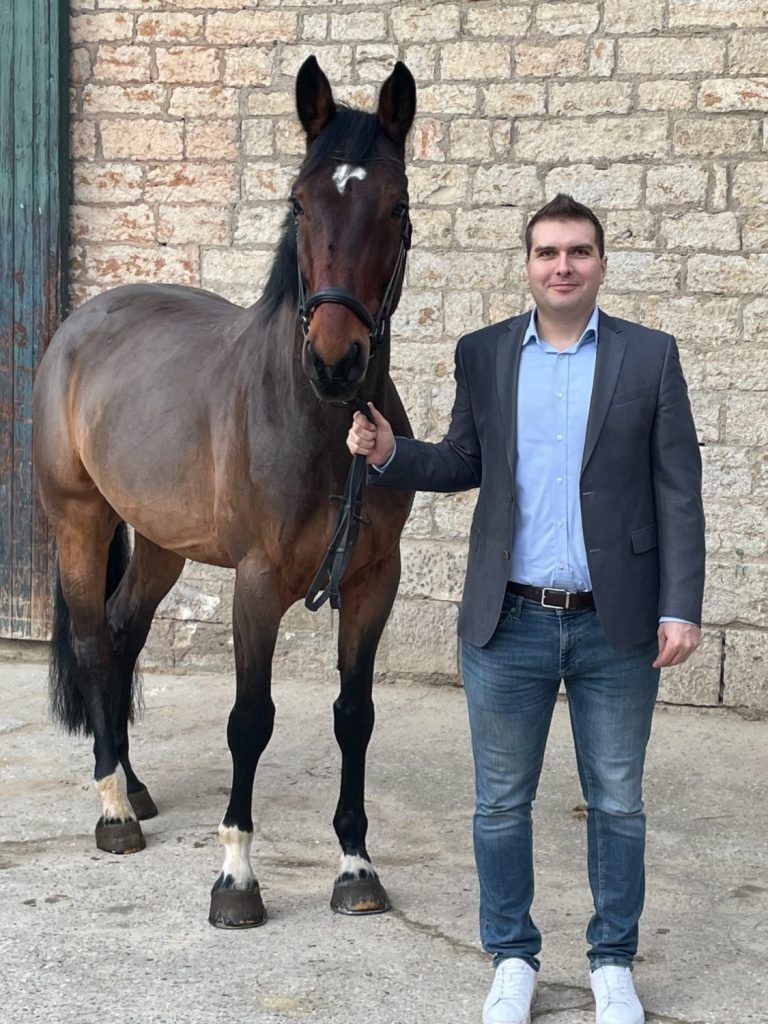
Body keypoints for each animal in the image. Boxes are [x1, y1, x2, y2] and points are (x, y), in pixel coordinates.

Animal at [32, 56, 416, 928]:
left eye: (395, 204)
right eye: (300, 201)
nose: (336, 362)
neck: (315, 423)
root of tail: (82, 323)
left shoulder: (374, 581)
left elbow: (356, 716)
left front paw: (355, 865)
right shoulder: (257, 584)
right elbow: (251, 720)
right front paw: (237, 877)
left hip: (159, 546)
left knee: (120, 635)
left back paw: (134, 785)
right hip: (78, 522)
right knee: (91, 640)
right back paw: (113, 809)